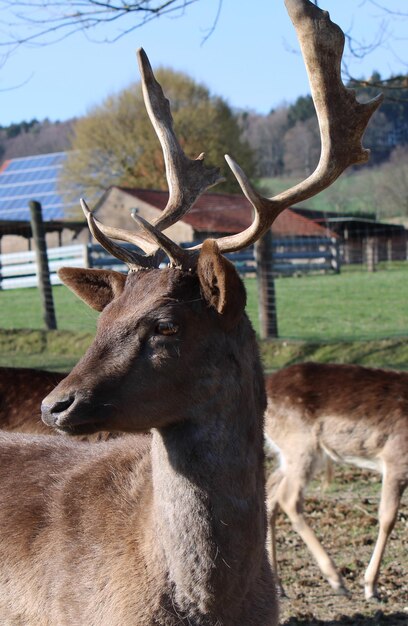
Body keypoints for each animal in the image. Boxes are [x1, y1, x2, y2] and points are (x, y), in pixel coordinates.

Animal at [266, 360, 406, 600]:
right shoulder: (395, 458)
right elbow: (388, 518)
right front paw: (371, 587)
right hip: (301, 445)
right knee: (288, 498)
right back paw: (337, 581)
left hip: (288, 454)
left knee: (271, 491)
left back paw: (278, 587)